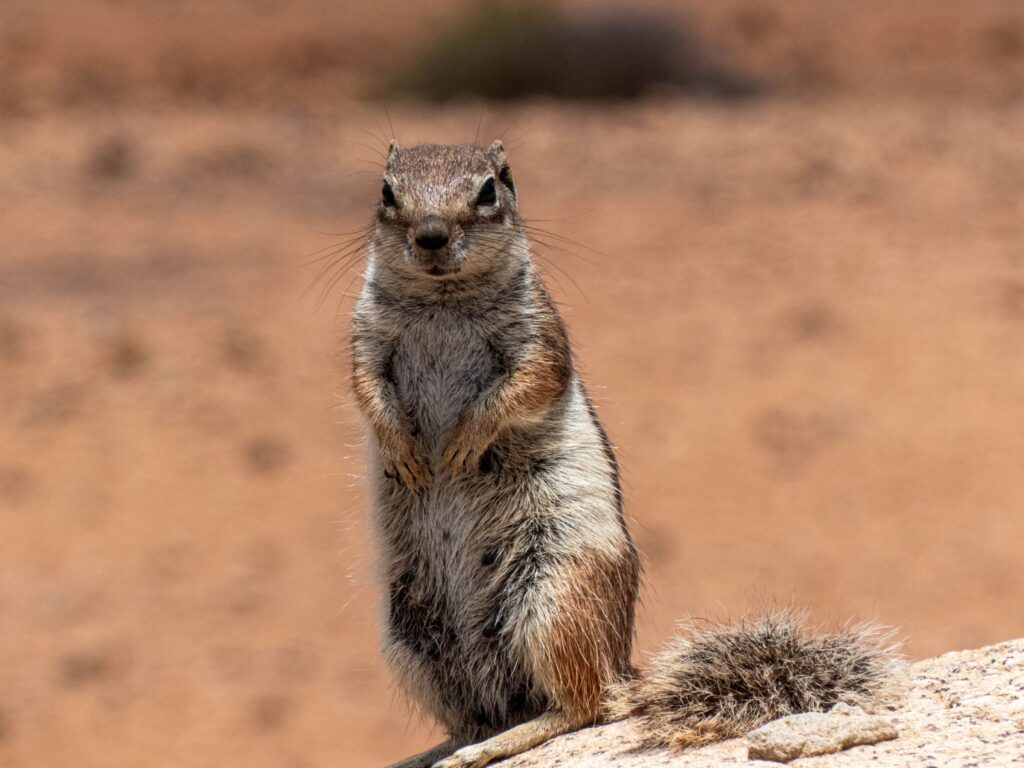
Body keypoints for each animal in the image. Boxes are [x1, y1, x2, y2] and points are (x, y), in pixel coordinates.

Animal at [349, 140, 903, 768]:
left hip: (555, 595)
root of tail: (621, 665)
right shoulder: (365, 339)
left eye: (489, 189)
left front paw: (465, 439)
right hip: (413, 636)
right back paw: (438, 749)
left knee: (582, 706)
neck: (441, 298)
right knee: (478, 715)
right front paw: (404, 450)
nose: (431, 234)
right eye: (387, 191)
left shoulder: (541, 340)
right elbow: (366, 388)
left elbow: (525, 386)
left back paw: (497, 742)